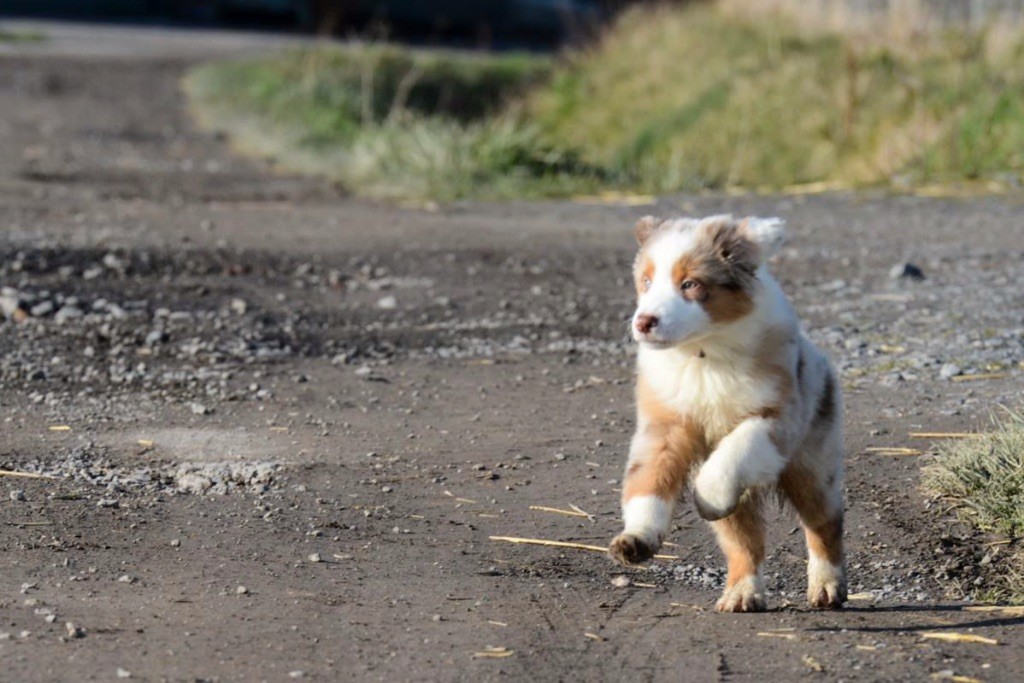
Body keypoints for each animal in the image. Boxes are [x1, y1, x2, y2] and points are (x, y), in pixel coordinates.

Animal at [608, 214, 846, 612]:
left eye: (690, 284)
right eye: (646, 281)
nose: (643, 322)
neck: (703, 354)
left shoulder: (775, 418)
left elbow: (732, 454)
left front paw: (708, 496)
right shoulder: (663, 424)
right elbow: (647, 480)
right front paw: (636, 540)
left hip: (814, 464)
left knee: (824, 523)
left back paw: (827, 587)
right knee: (743, 542)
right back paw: (741, 593)